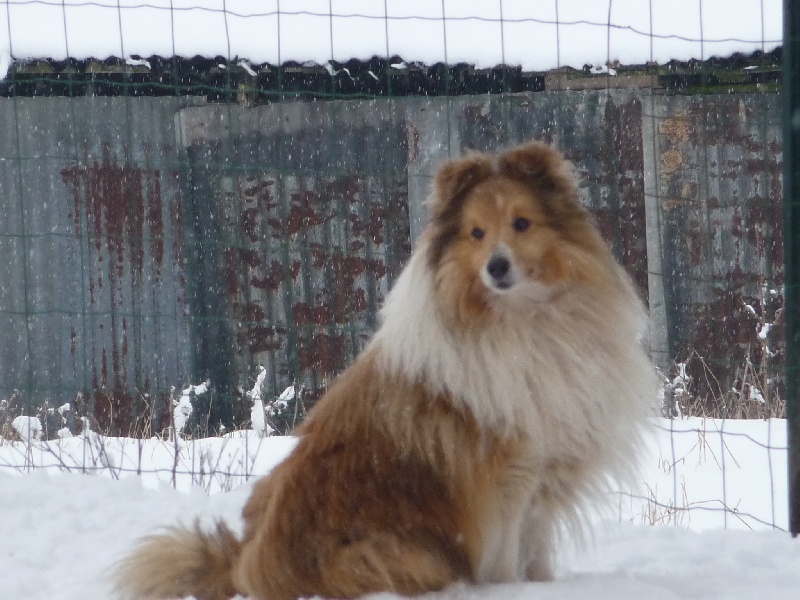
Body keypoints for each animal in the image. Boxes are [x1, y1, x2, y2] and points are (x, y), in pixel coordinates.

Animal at [115, 142, 652, 600]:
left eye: (522, 223)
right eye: (476, 233)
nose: (496, 268)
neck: (522, 319)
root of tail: (246, 568)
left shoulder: (543, 473)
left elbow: (536, 554)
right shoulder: (504, 480)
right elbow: (504, 562)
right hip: (406, 553)